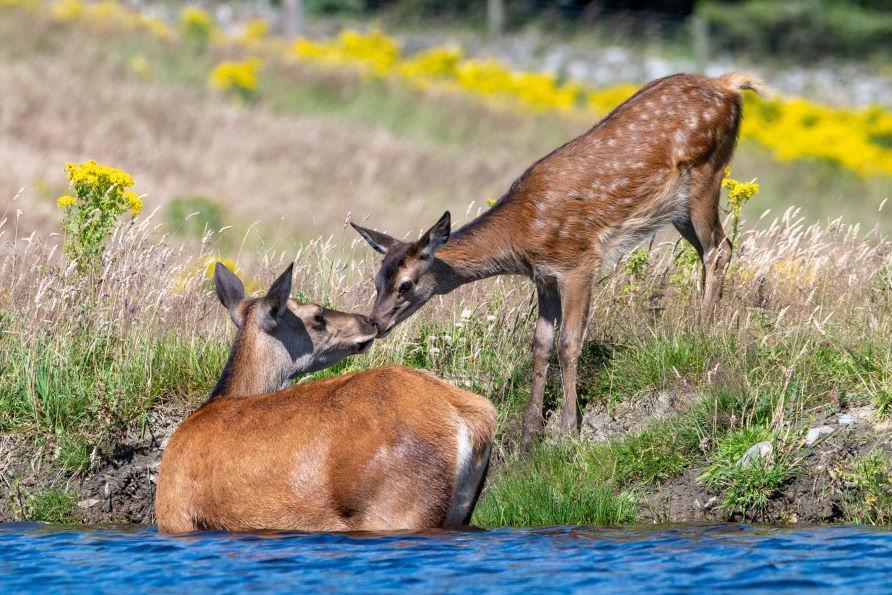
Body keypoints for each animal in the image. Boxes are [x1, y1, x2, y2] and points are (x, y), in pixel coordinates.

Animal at [157, 264, 498, 532]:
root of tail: (470, 416)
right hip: (458, 510)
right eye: (317, 316)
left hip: (400, 504)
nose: (368, 321)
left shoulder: (175, 513)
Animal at [354, 72, 768, 450]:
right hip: (678, 208)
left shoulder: (579, 261)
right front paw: (529, 434)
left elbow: (569, 342)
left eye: (405, 284)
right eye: (378, 281)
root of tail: (728, 84)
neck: (520, 236)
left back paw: (703, 327)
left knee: (719, 249)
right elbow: (540, 343)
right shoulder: (544, 277)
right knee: (715, 248)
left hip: (705, 174)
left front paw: (570, 428)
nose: (375, 323)